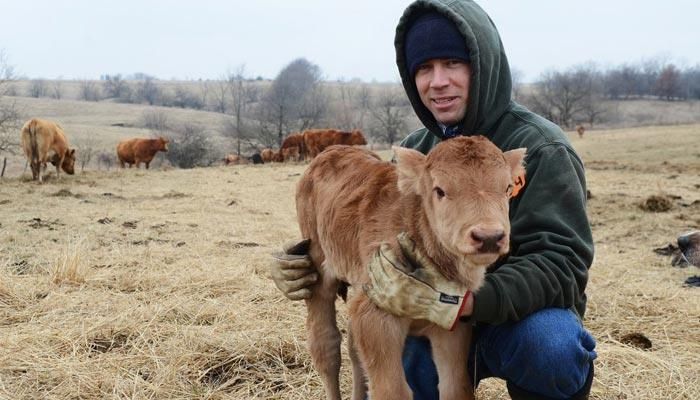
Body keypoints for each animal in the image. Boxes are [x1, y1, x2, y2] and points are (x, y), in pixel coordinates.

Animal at [294, 136, 524, 398]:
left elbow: (455, 387)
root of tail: (330, 152)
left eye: (507, 188)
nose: (489, 236)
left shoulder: (451, 325)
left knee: (353, 351)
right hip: (318, 266)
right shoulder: (374, 317)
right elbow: (392, 391)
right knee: (325, 345)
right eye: (440, 190)